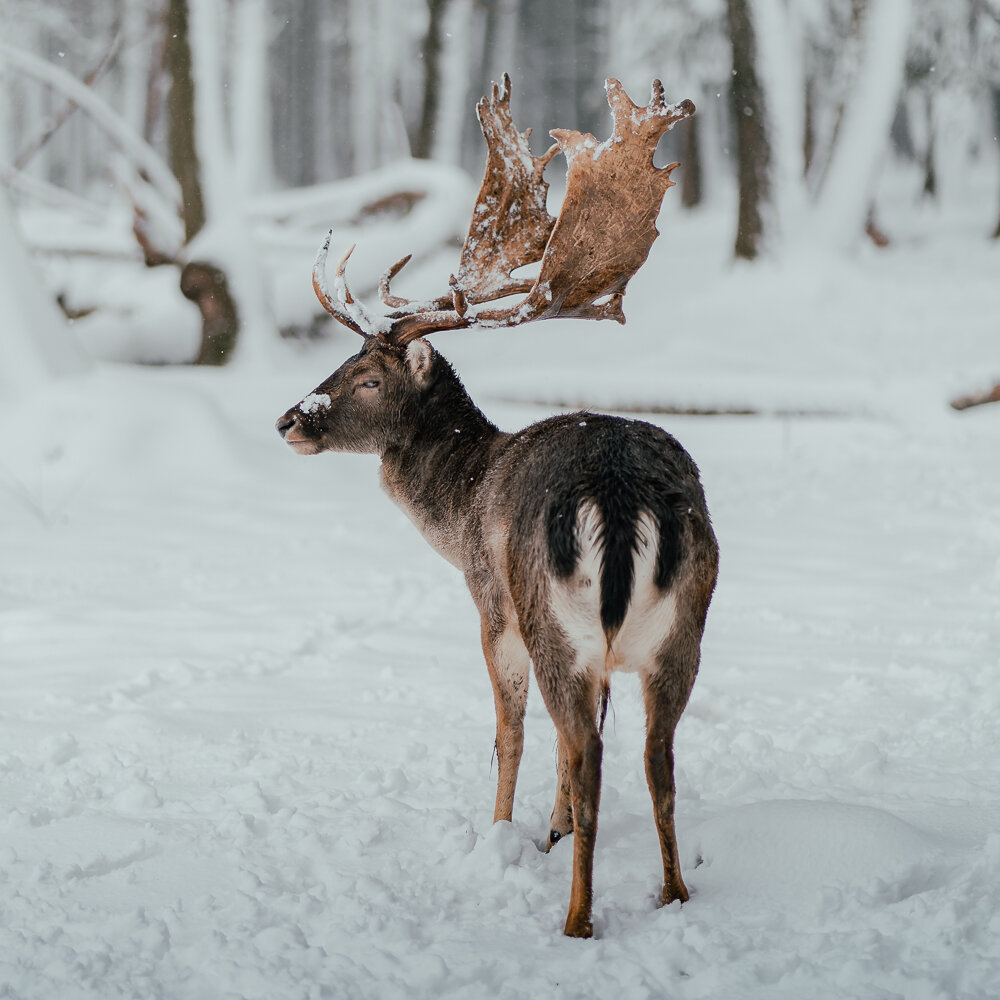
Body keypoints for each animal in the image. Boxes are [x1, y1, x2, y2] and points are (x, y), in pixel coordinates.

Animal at [276, 76, 720, 936]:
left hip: (548, 616)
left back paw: (577, 918)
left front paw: (502, 833)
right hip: (683, 627)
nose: (288, 419)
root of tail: (619, 500)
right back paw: (673, 894)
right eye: (342, 359)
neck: (459, 505)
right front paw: (551, 830)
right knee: (655, 757)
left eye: (367, 378)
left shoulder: (489, 601)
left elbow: (508, 733)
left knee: (587, 752)